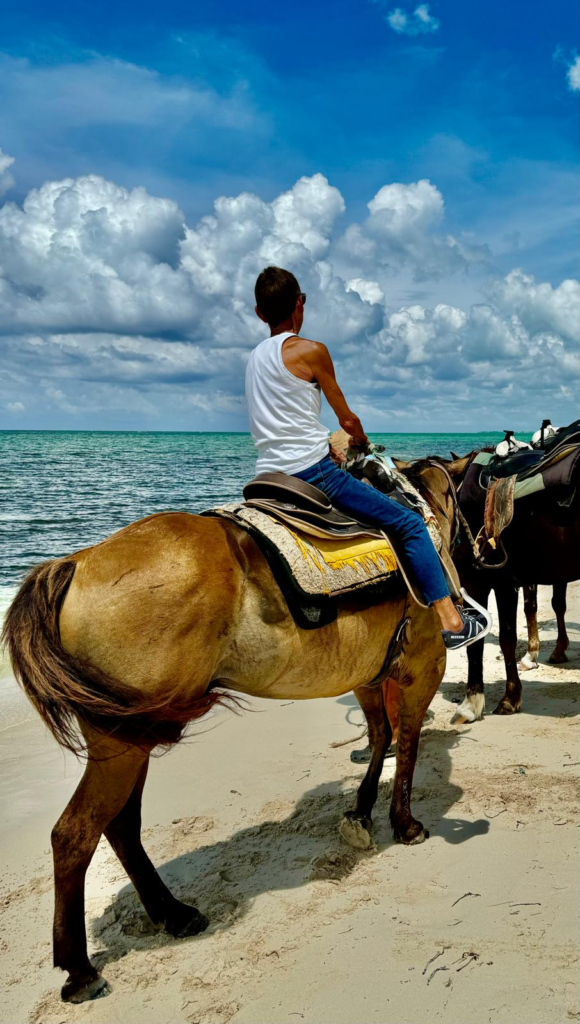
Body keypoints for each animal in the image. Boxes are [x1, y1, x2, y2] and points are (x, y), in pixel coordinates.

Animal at [3, 462, 459, 999]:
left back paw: (173, 914)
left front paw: (361, 811)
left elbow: (382, 737)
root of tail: (75, 562)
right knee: (74, 833)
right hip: (120, 741)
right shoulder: (424, 663)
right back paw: (80, 968)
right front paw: (404, 823)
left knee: (119, 824)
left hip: (132, 736)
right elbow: (406, 743)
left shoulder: (368, 672)